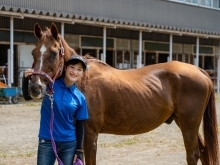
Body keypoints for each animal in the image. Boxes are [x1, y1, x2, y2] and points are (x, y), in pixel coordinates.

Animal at [28, 22, 218, 165]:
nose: (35, 87)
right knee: (203, 151)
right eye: (33, 52)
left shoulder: (90, 134)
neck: (82, 80)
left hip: (189, 124)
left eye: (53, 53)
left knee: (193, 154)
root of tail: (199, 70)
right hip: (184, 123)